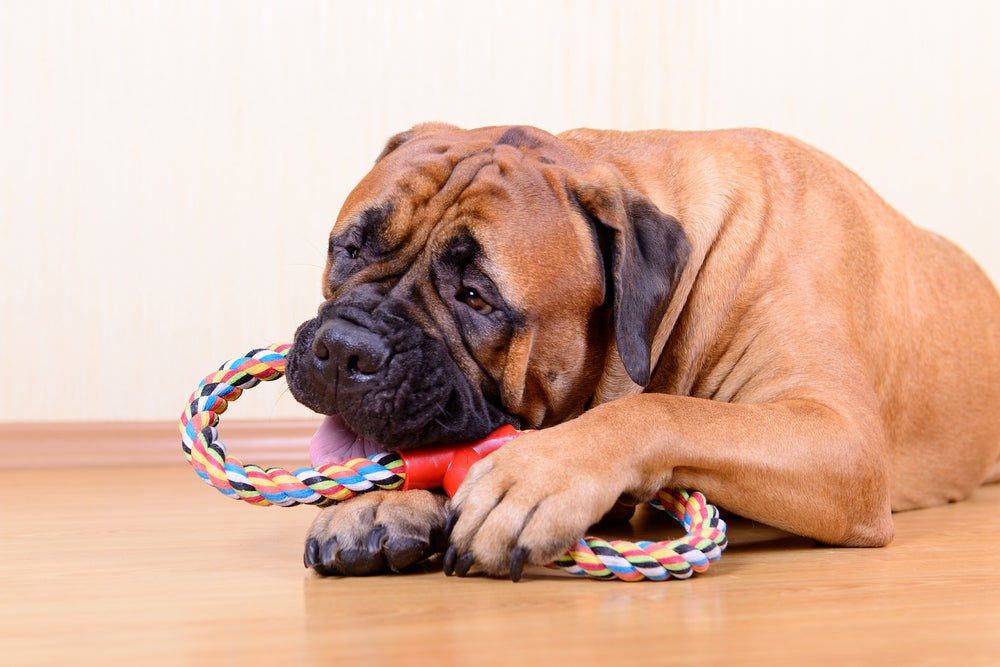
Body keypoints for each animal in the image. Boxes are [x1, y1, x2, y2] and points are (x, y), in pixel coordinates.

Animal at [284, 124, 1000, 580]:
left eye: (476, 296)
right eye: (348, 248)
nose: (345, 350)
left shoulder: (840, 438)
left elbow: (662, 410)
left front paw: (535, 475)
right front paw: (380, 503)